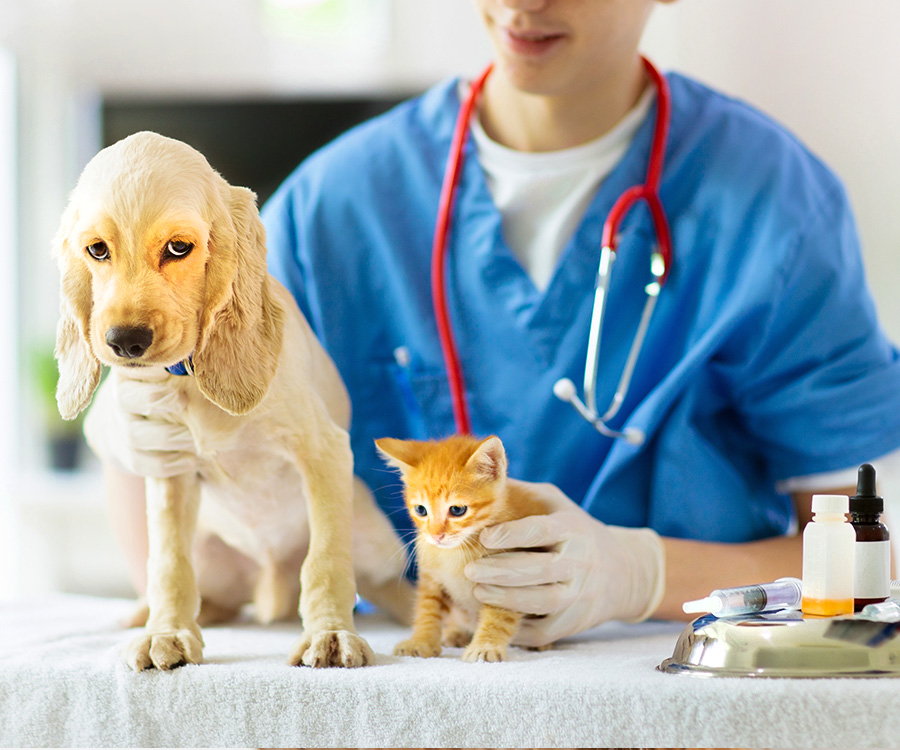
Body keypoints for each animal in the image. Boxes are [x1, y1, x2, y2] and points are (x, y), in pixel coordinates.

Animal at [52, 132, 412, 672]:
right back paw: (146, 614)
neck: (191, 383)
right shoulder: (171, 473)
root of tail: (269, 593)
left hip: (373, 540)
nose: (125, 341)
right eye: (97, 250)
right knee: (208, 595)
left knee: (397, 586)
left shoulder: (324, 451)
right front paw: (168, 631)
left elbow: (327, 559)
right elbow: (169, 563)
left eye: (178, 247)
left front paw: (330, 633)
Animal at [374, 434, 548, 664]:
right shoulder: (430, 577)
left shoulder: (509, 580)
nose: (436, 535)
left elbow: (498, 616)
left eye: (457, 510)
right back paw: (455, 633)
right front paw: (421, 640)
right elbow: (427, 608)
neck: (456, 552)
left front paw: (485, 645)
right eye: (421, 510)